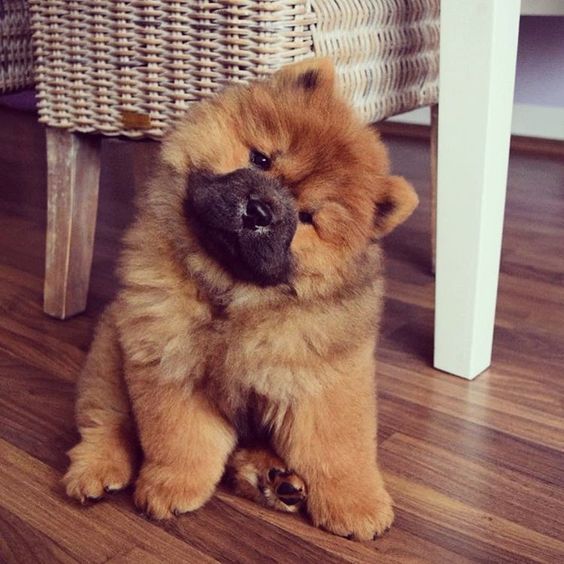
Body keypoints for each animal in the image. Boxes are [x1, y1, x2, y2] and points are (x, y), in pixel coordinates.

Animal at [64, 58, 418, 540]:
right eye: (261, 159)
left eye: (307, 218)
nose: (259, 211)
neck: (233, 294)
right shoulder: (167, 361)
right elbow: (178, 437)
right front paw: (173, 486)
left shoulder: (323, 376)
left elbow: (337, 447)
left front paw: (356, 505)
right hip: (107, 358)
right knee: (106, 421)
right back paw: (95, 470)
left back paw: (277, 478)